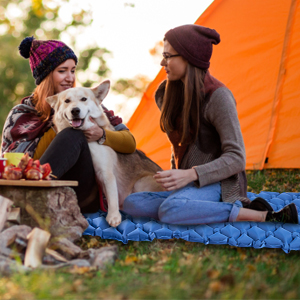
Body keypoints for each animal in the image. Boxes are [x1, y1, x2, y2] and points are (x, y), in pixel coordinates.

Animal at [46, 81, 164, 226]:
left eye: (83, 99)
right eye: (67, 101)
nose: (75, 110)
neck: (85, 137)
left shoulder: (106, 173)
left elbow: (112, 196)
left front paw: (113, 216)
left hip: (140, 183)